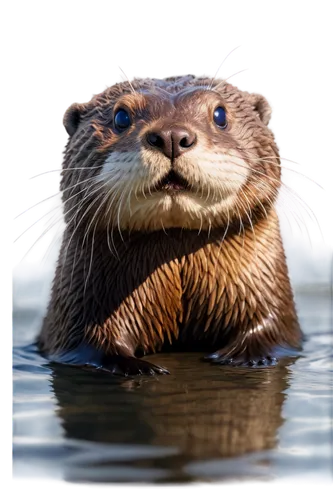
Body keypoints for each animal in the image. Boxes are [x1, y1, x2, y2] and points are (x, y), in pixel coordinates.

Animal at [37, 73, 302, 376]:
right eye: (121, 117)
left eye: (220, 115)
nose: (172, 136)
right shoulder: (77, 322)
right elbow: (94, 346)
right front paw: (139, 368)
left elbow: (271, 332)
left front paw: (249, 357)